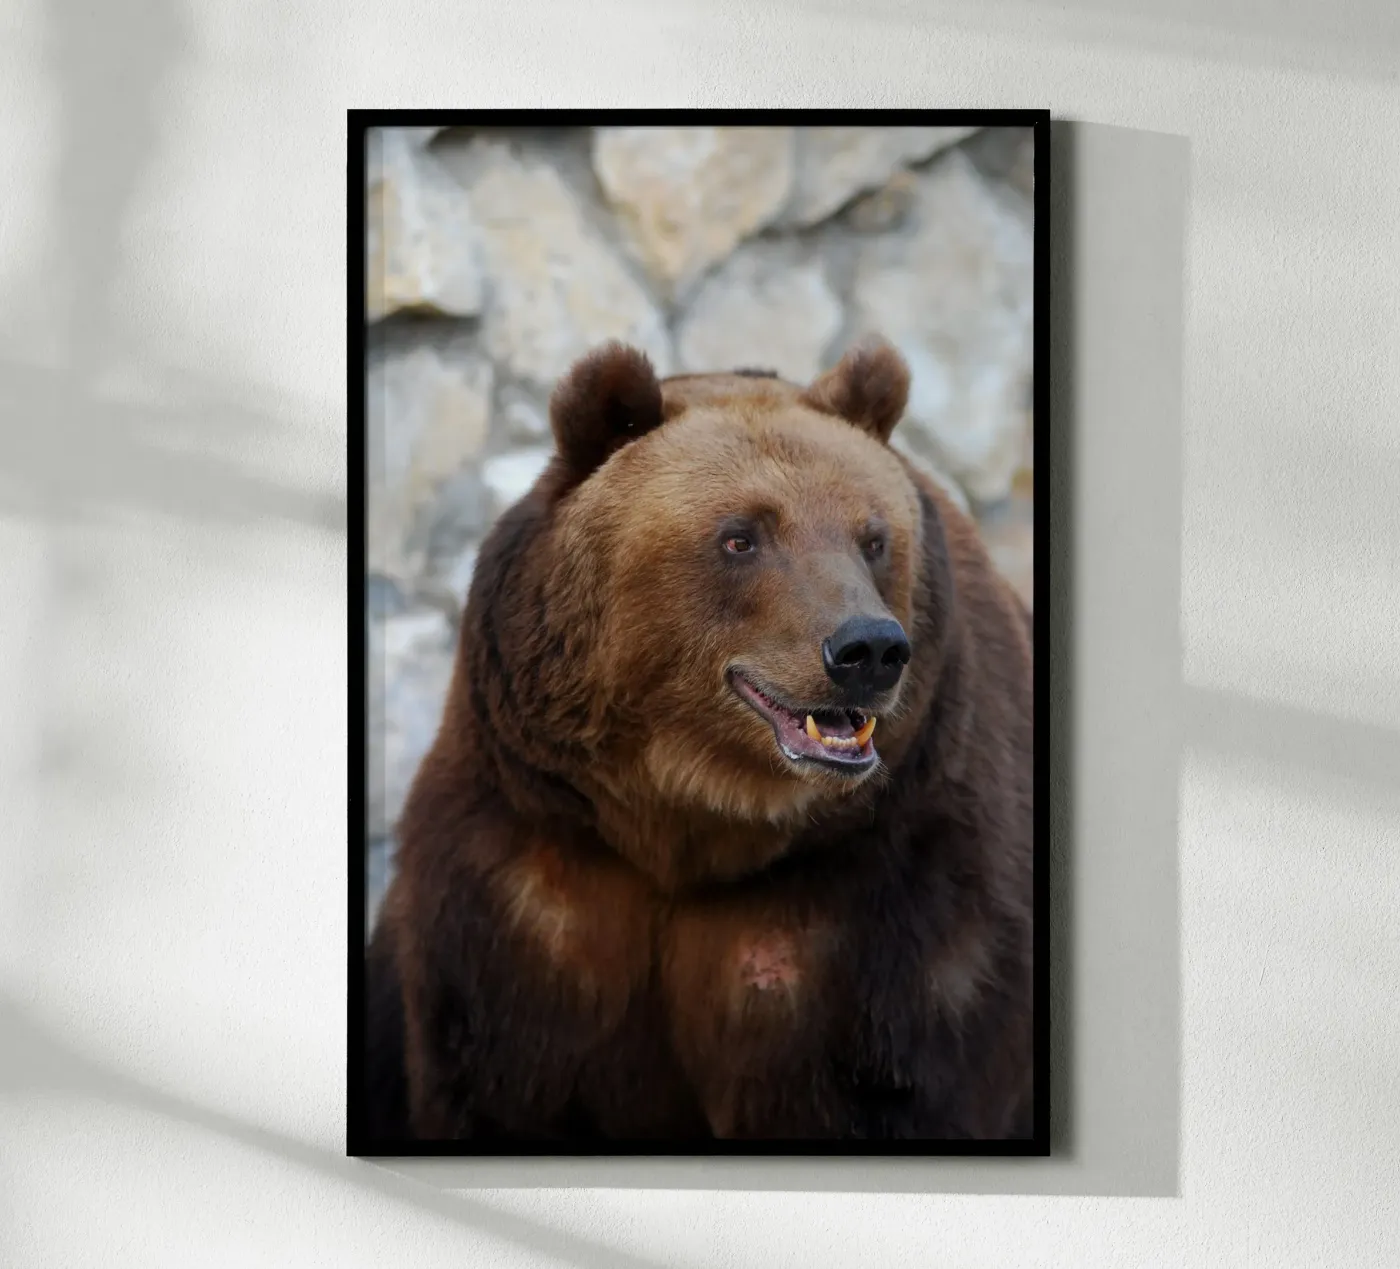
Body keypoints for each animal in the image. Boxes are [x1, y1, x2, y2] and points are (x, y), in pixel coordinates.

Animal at [361, 336, 1036, 1144]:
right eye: (741, 535)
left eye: (874, 537)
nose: (868, 648)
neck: (689, 820)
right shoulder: (531, 878)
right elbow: (497, 1078)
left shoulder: (891, 897)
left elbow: (900, 1081)